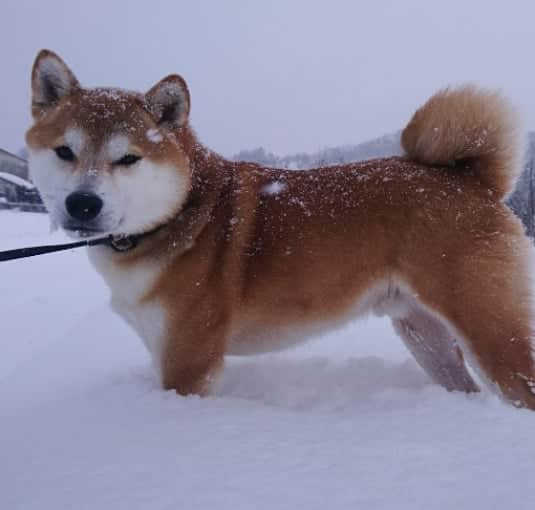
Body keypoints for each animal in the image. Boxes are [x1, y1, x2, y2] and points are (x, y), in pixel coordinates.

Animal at [26, 50, 535, 410]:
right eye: (65, 151)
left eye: (128, 158)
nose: (82, 204)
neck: (180, 211)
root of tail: (469, 178)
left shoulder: (186, 362)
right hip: (425, 335)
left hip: (489, 329)